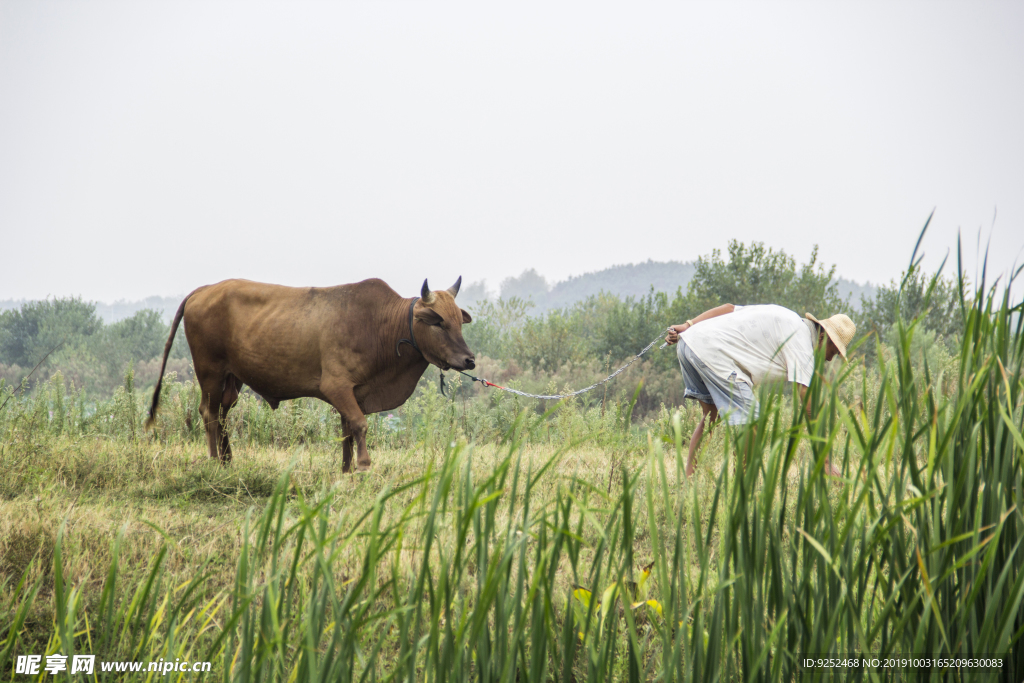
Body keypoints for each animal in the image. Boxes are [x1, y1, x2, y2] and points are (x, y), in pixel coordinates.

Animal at [146, 274, 473, 473]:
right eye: (438, 322)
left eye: (459, 321)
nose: (469, 360)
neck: (379, 324)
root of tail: (204, 289)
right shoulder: (337, 387)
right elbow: (359, 424)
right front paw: (363, 465)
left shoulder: (354, 393)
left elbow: (347, 431)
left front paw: (346, 469)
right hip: (210, 371)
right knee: (209, 412)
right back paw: (215, 460)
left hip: (233, 377)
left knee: (224, 412)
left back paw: (228, 460)